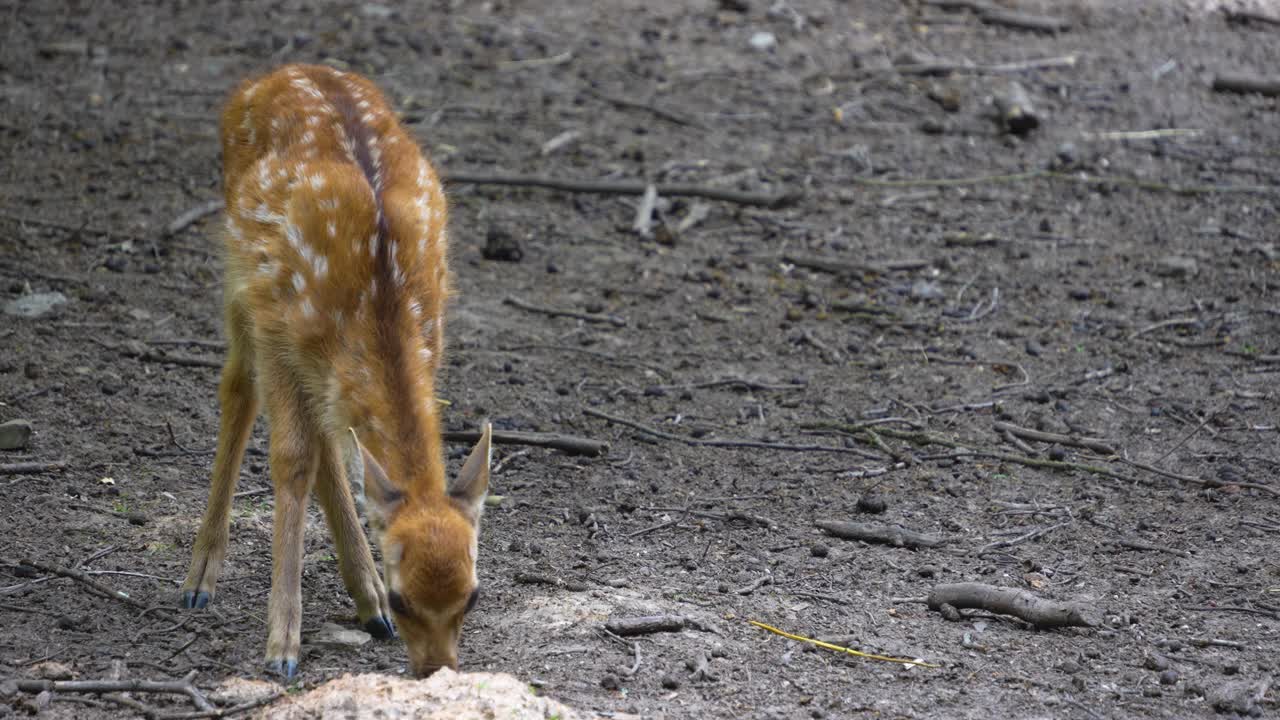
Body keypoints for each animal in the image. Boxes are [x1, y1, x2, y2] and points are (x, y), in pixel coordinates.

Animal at [183, 64, 491, 676]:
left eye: (472, 596)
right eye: (405, 595)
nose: (437, 672)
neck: (380, 293)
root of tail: (273, 75)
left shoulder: (430, 333)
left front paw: (366, 605)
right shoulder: (277, 327)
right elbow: (292, 459)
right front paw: (282, 645)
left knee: (327, 432)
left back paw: (365, 603)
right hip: (240, 269)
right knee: (238, 389)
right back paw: (200, 577)